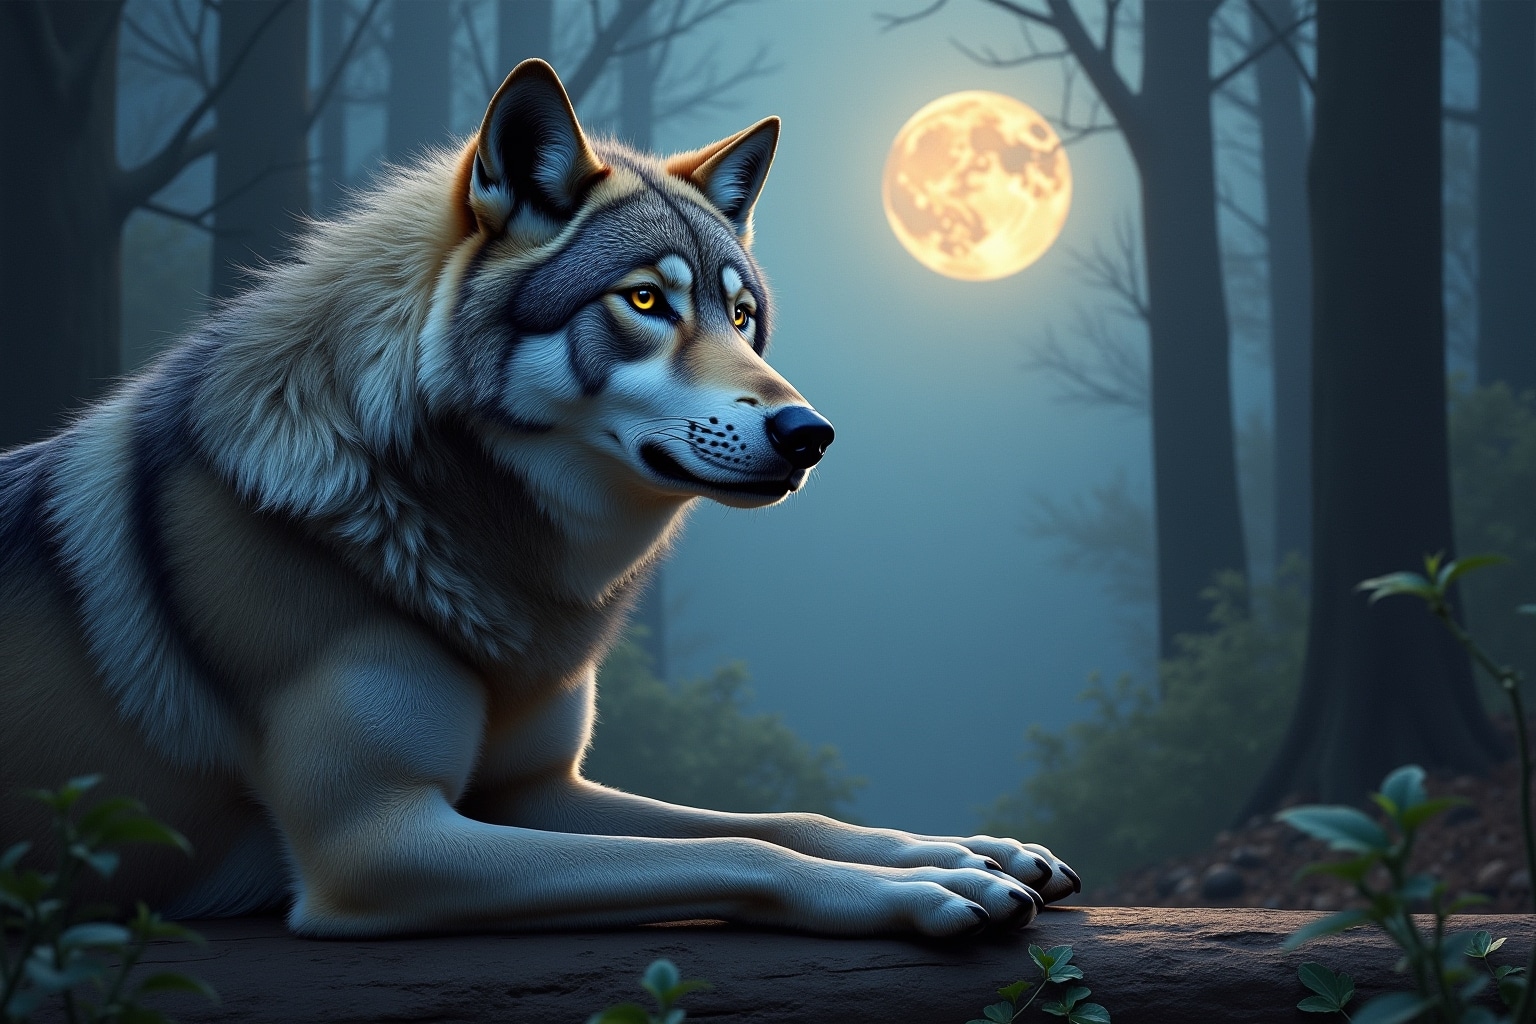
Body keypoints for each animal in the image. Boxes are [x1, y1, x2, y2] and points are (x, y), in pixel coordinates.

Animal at [0, 60, 1077, 937]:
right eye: (644, 301)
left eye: (740, 316)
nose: (809, 433)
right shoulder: (381, 841)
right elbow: (739, 847)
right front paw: (924, 889)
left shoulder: (536, 787)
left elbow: (784, 817)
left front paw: (969, 849)